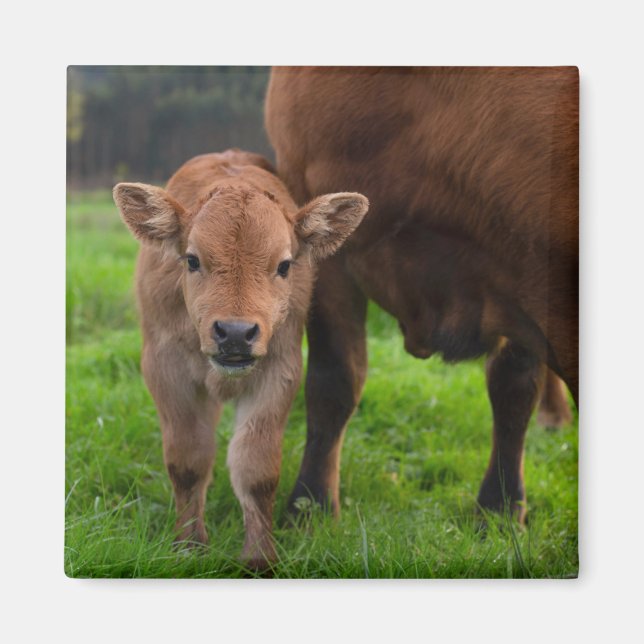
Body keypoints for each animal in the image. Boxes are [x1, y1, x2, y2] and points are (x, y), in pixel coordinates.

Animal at [112, 149, 368, 569]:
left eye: (284, 265)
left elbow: (256, 469)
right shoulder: (165, 370)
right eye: (192, 260)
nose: (234, 332)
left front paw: (259, 560)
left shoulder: (280, 371)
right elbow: (188, 461)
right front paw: (189, 549)